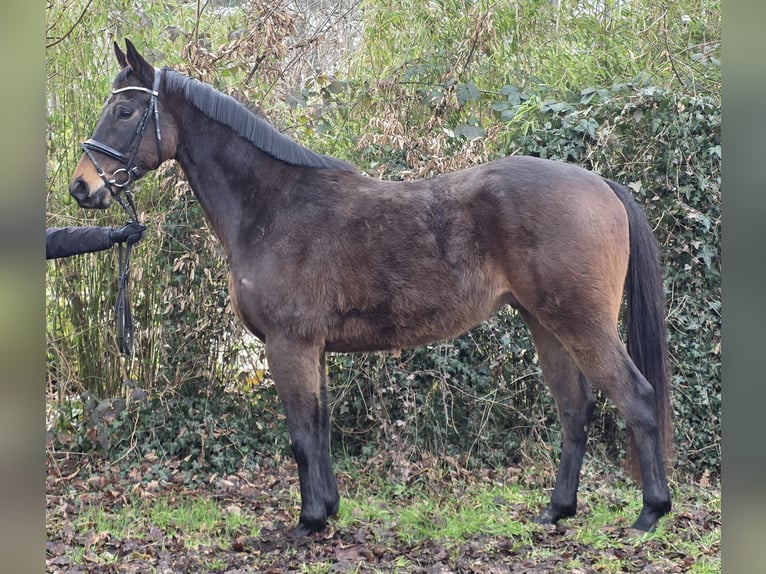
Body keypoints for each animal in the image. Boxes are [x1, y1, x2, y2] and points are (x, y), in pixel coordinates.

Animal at [69, 39, 673, 537]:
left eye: (124, 111)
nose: (82, 186)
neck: (273, 206)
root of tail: (602, 184)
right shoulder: (314, 350)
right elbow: (320, 428)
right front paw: (329, 510)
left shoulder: (288, 345)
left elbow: (300, 433)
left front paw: (309, 521)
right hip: (545, 323)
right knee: (575, 409)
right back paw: (558, 510)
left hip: (580, 322)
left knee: (637, 398)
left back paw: (650, 513)